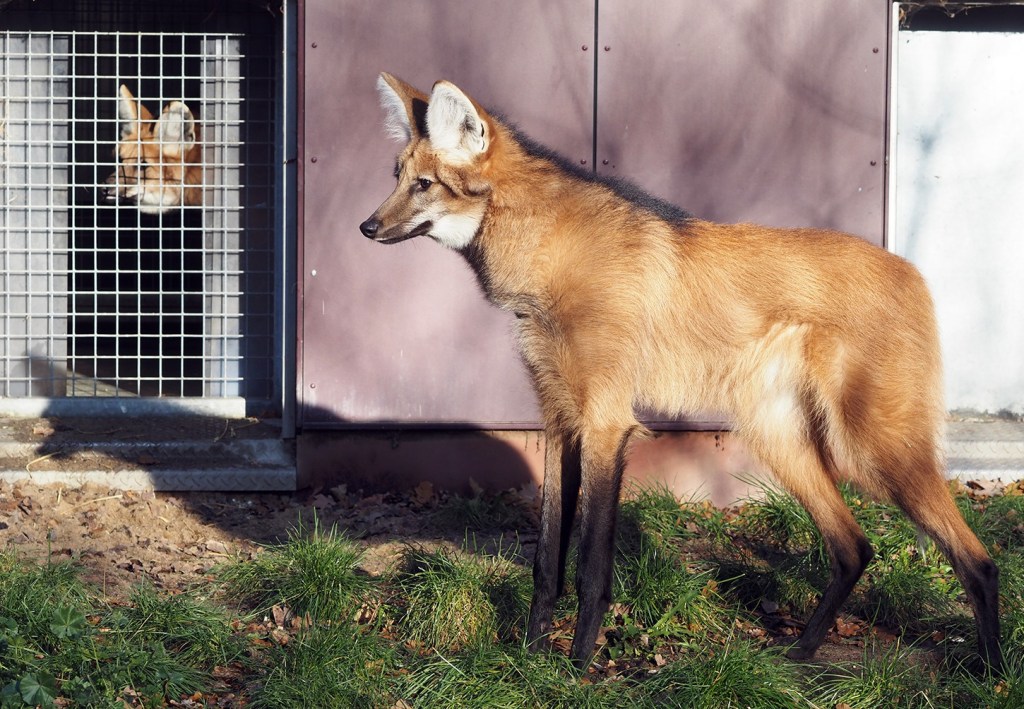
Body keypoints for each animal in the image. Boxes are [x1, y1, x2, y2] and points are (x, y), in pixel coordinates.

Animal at [360, 72, 999, 672]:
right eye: (394, 175)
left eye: (423, 185)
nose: (366, 228)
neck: (548, 260)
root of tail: (913, 271)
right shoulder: (561, 421)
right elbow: (546, 563)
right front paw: (529, 657)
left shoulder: (606, 423)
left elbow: (590, 566)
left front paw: (576, 669)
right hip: (780, 439)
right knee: (855, 547)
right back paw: (802, 652)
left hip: (873, 447)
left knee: (980, 561)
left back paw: (989, 672)